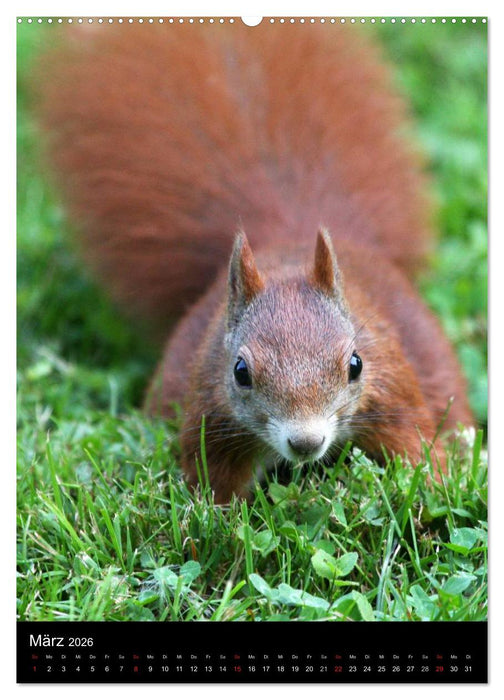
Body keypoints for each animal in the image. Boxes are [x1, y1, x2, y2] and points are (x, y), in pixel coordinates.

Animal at [30, 21, 473, 503]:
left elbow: (417, 449)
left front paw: (433, 488)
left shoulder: (392, 394)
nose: (306, 442)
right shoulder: (213, 419)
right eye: (240, 372)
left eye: (355, 364)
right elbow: (213, 488)